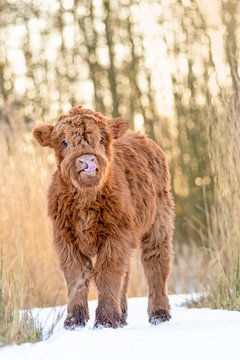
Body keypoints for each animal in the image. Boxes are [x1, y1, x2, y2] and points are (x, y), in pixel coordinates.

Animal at [32, 106, 173, 330]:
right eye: (64, 142)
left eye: (100, 139)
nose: (87, 161)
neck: (86, 199)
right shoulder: (65, 238)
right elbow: (77, 275)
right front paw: (74, 321)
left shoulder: (116, 235)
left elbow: (107, 273)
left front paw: (106, 320)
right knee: (127, 272)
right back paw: (122, 316)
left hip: (159, 221)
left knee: (156, 263)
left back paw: (159, 314)